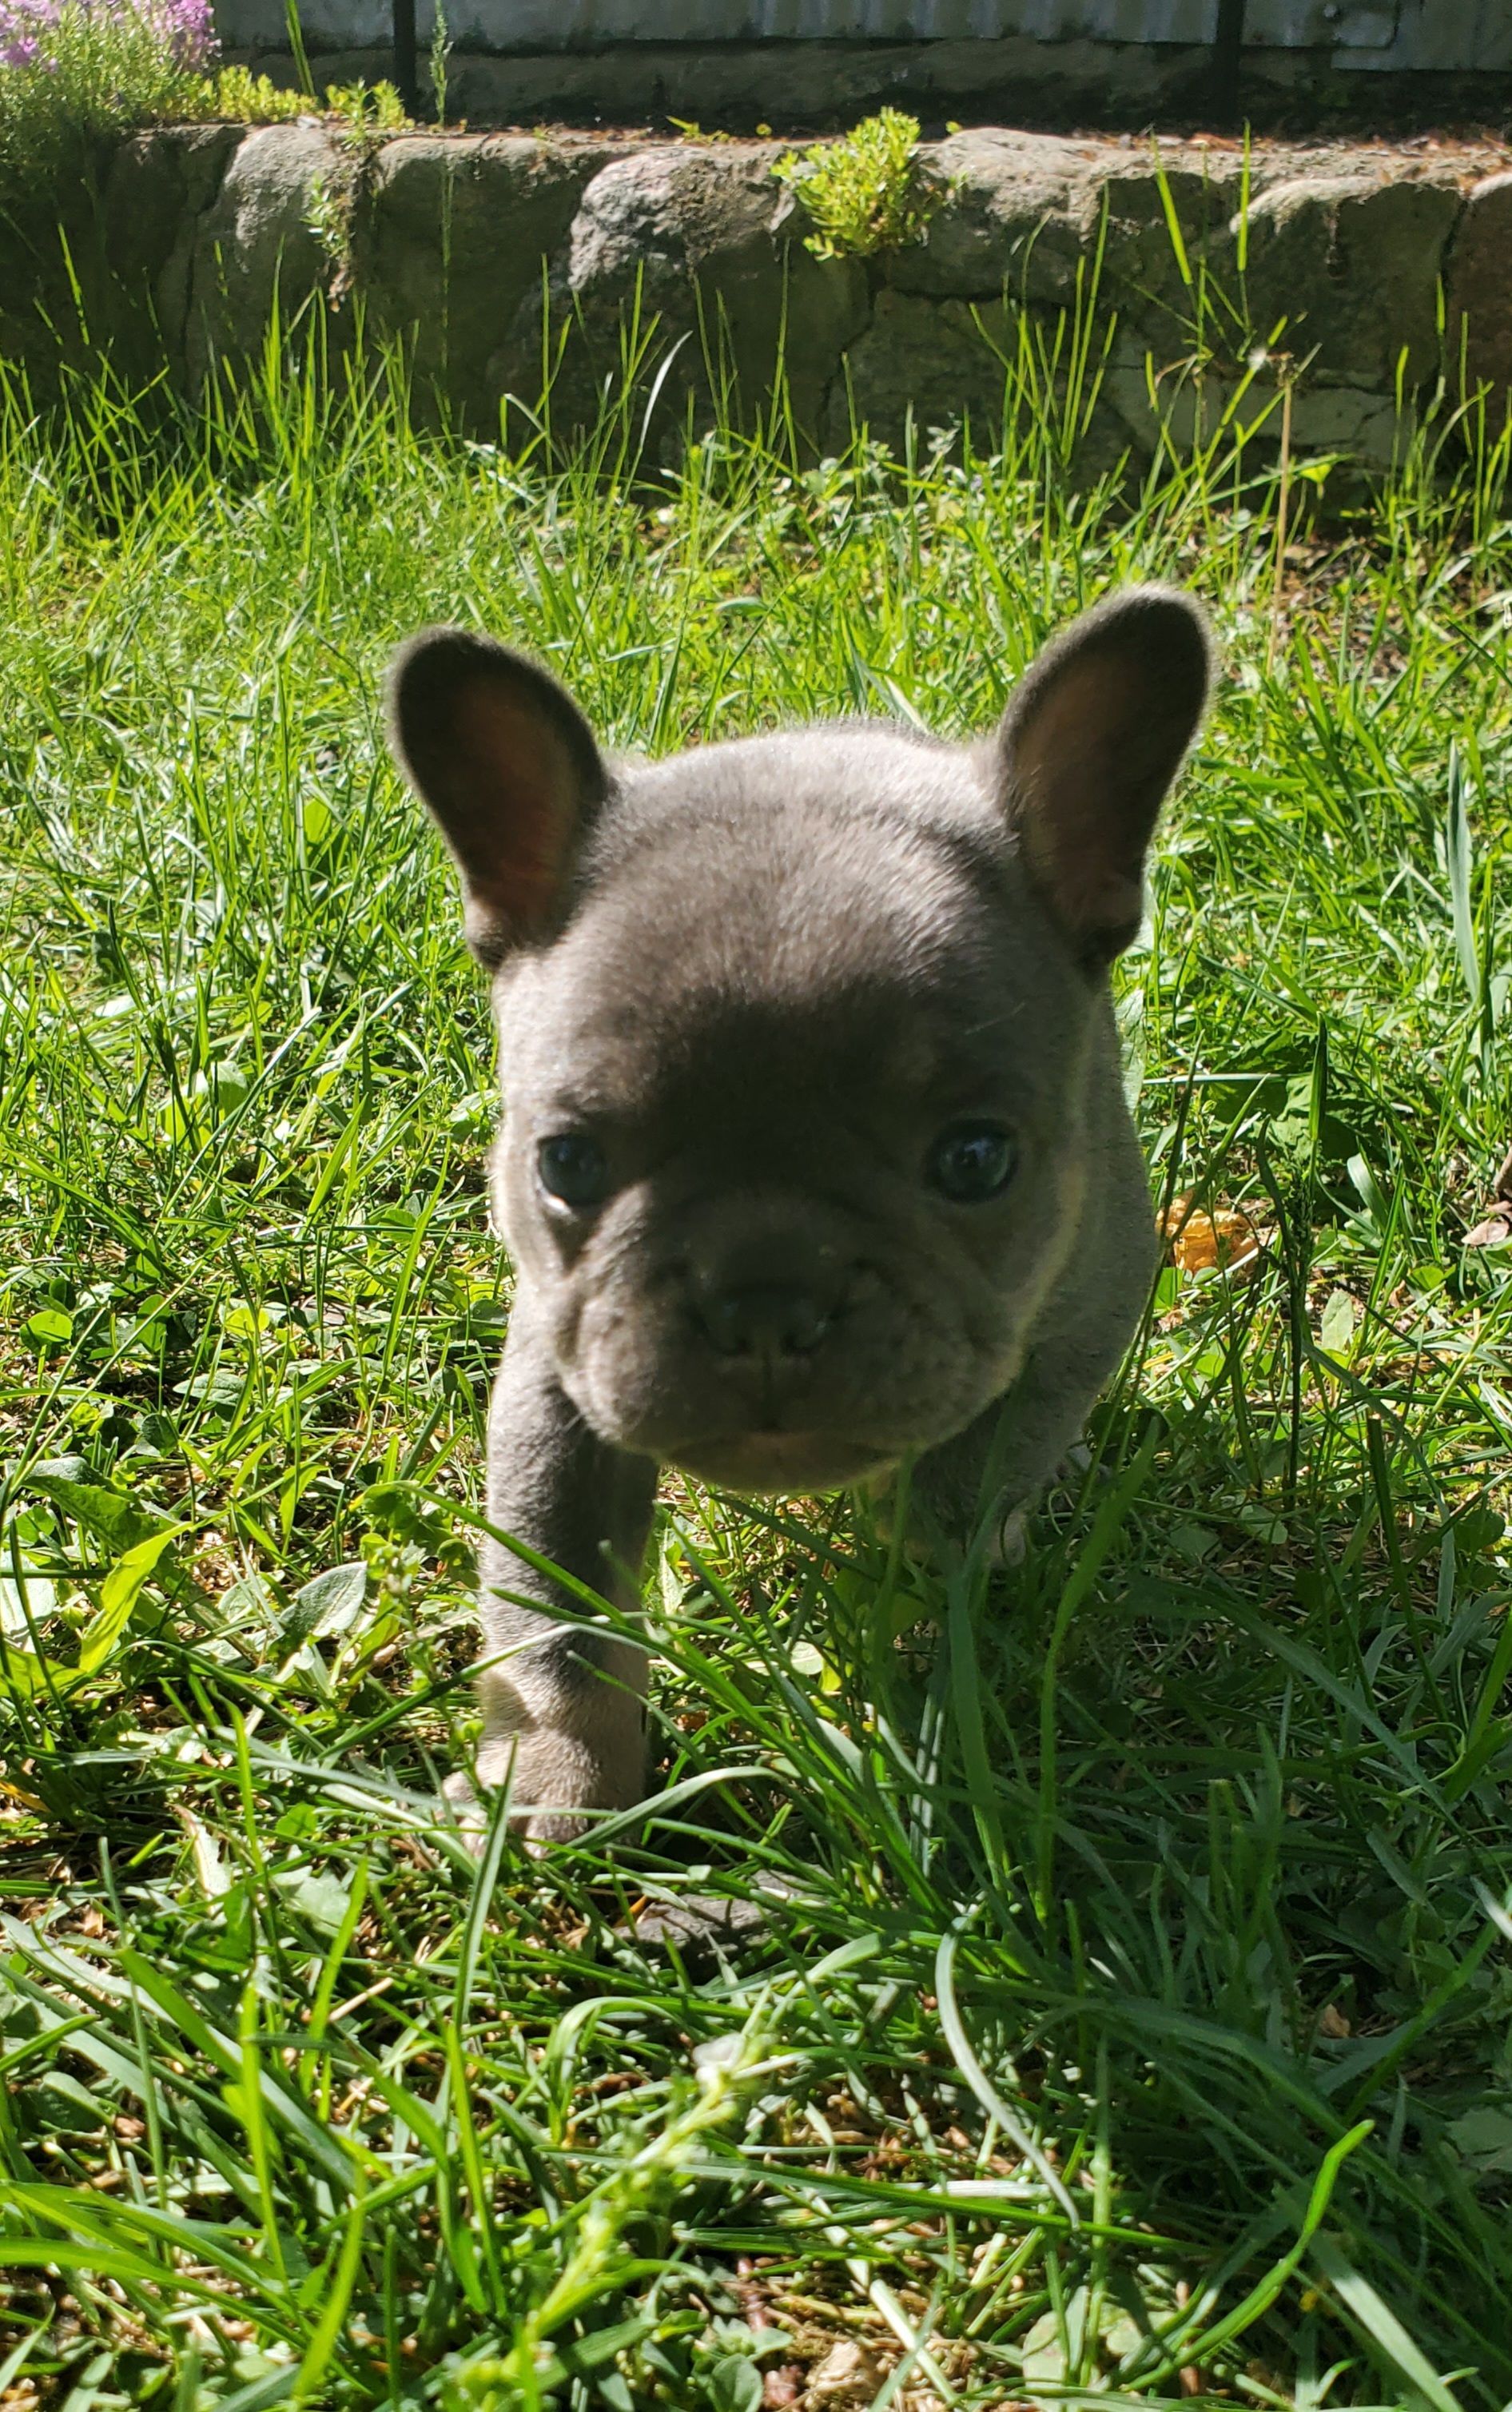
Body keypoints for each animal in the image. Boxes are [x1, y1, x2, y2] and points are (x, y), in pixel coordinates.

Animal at [392, 583, 1220, 1823]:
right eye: (567, 1164)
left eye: (977, 1160)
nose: (765, 1303)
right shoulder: (555, 1376)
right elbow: (559, 1604)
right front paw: (558, 1776)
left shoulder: (1079, 1320)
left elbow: (953, 1508)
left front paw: (918, 1633)